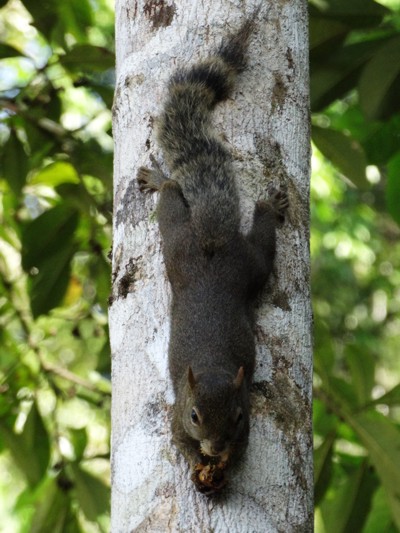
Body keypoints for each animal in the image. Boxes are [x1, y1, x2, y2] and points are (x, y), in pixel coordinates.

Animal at [137, 13, 288, 494]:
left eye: (237, 416)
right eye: (194, 415)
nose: (215, 446)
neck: (213, 366)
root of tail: (211, 238)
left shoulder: (248, 423)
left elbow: (243, 449)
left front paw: (221, 468)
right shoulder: (174, 416)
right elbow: (179, 441)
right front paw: (199, 467)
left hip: (239, 264)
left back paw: (266, 205)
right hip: (180, 246)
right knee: (171, 199)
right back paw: (160, 179)